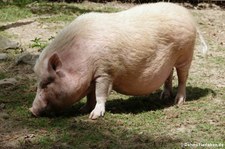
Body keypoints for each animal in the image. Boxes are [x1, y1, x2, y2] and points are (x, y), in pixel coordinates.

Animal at [29, 2, 207, 118]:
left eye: (47, 82)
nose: (31, 110)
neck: (80, 57)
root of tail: (188, 15)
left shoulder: (105, 72)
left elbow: (100, 93)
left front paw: (94, 116)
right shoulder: (92, 76)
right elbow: (90, 95)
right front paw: (83, 110)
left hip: (186, 53)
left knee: (183, 78)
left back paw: (178, 102)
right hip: (170, 60)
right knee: (169, 75)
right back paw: (164, 97)